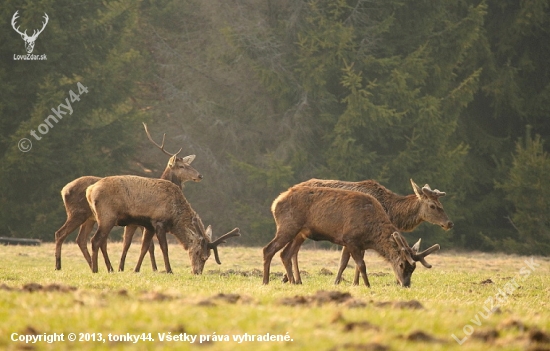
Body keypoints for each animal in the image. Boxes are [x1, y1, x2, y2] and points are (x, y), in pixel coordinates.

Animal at [52, 123, 201, 272]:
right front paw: (153, 269)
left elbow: (132, 244)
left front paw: (124, 267)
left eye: (189, 164)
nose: (200, 175)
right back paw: (61, 266)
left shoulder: (134, 223)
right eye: (181, 166)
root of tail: (63, 190)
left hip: (90, 218)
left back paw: (97, 266)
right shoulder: (140, 222)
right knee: (63, 234)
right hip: (78, 214)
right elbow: (149, 246)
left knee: (82, 239)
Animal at [85, 176, 239, 276]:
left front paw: (136, 269)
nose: (197, 272)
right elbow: (164, 248)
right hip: (107, 216)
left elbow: (144, 247)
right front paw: (169, 270)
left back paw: (109, 268)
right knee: (95, 240)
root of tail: (89, 191)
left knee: (102, 242)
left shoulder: (149, 226)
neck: (174, 216)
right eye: (197, 252)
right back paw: (95, 269)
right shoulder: (159, 222)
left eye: (207, 257)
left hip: (102, 218)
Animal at [266, 186, 442, 288]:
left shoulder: (356, 244)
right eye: (401, 264)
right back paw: (266, 281)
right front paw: (367, 285)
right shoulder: (350, 239)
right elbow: (361, 265)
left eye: (413, 269)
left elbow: (348, 263)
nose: (405, 285)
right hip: (288, 226)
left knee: (285, 254)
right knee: (269, 249)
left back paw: (292, 282)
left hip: (300, 233)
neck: (371, 236)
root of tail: (274, 203)